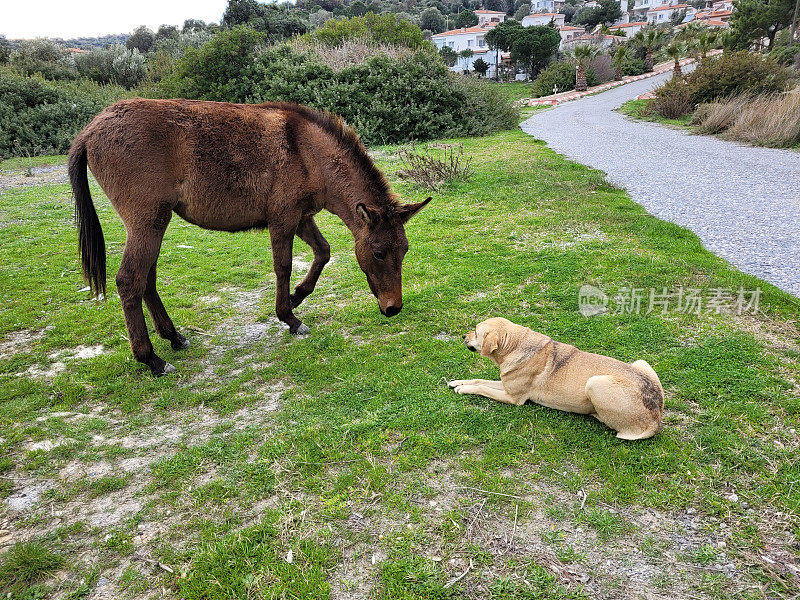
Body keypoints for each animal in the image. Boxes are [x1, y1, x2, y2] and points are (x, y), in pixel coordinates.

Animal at [69, 98, 432, 376]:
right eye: (379, 252)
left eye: (404, 250)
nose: (393, 308)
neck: (306, 151)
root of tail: (91, 129)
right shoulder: (283, 218)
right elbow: (283, 266)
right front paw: (290, 318)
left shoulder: (302, 218)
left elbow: (323, 252)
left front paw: (297, 297)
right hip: (147, 223)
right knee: (130, 280)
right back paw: (151, 359)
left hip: (155, 224)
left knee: (147, 279)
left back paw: (174, 337)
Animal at [450, 318, 664, 440]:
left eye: (476, 331)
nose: (463, 335)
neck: (516, 345)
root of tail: (656, 420)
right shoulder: (506, 385)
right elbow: (478, 380)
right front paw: (457, 382)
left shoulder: (513, 398)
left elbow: (482, 388)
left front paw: (464, 389)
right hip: (641, 362)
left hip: (594, 383)